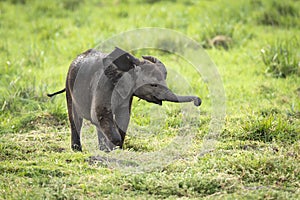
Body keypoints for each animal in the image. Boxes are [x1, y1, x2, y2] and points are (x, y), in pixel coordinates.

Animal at [47, 47, 202, 152]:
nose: (198, 102)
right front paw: (112, 148)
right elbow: (101, 114)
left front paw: (115, 149)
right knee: (76, 119)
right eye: (153, 85)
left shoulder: (127, 95)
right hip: (70, 85)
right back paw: (77, 150)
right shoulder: (103, 85)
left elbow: (123, 117)